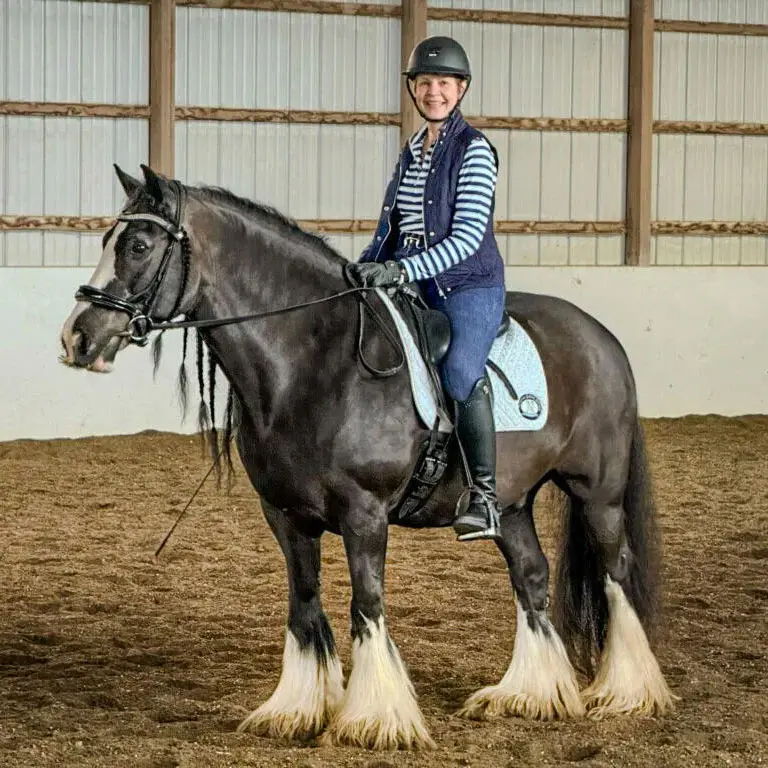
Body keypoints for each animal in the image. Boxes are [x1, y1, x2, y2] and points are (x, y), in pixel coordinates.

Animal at [59, 164, 675, 750]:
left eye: (138, 246)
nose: (77, 338)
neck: (315, 362)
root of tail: (600, 337)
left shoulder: (365, 514)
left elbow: (367, 603)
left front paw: (375, 719)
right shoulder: (286, 516)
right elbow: (305, 604)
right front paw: (297, 709)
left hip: (598, 494)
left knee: (616, 572)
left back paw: (628, 691)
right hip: (511, 502)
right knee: (531, 577)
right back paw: (530, 693)